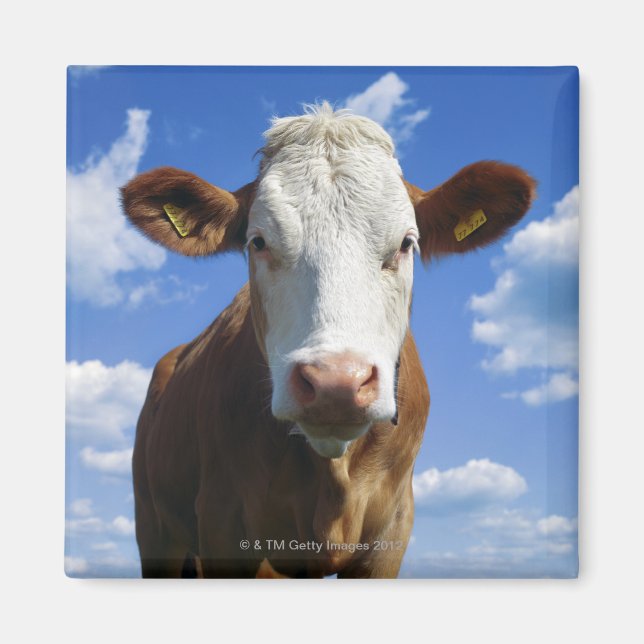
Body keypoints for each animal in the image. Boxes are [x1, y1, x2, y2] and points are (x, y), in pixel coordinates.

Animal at [121, 102, 535, 578]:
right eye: (258, 241)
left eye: (406, 243)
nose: (336, 383)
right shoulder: (223, 526)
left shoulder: (391, 536)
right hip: (156, 532)